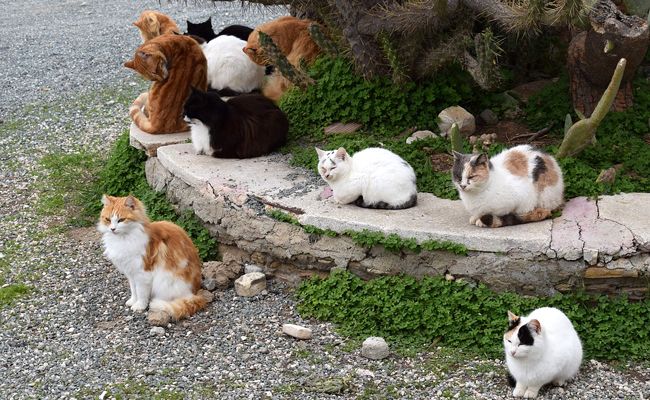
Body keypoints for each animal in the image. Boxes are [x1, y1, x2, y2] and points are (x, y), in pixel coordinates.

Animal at [97, 195, 208, 324]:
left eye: (121, 220)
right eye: (108, 219)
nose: (112, 229)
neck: (123, 239)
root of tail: (196, 293)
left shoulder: (142, 273)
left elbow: (141, 292)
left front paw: (139, 306)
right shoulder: (130, 273)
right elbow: (133, 290)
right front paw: (132, 301)